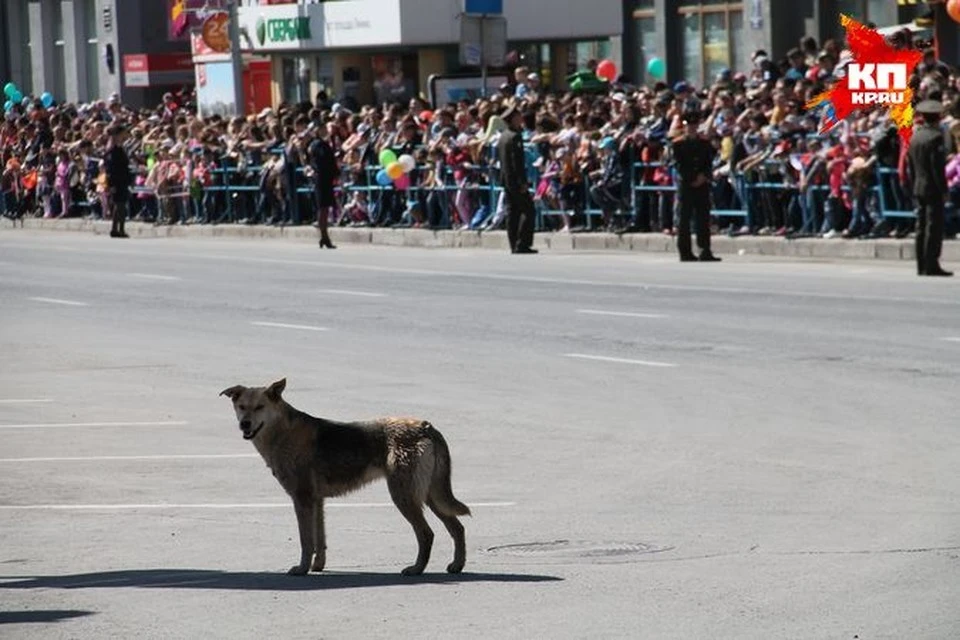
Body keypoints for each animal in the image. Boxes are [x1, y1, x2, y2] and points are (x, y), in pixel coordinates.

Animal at [218, 378, 472, 576]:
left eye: (260, 407)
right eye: (241, 406)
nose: (244, 424)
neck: (283, 432)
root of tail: (426, 426)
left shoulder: (302, 499)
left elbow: (305, 540)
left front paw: (301, 569)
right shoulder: (317, 501)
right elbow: (319, 541)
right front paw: (317, 566)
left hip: (405, 495)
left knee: (426, 534)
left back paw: (416, 569)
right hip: (431, 495)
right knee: (457, 528)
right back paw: (456, 565)